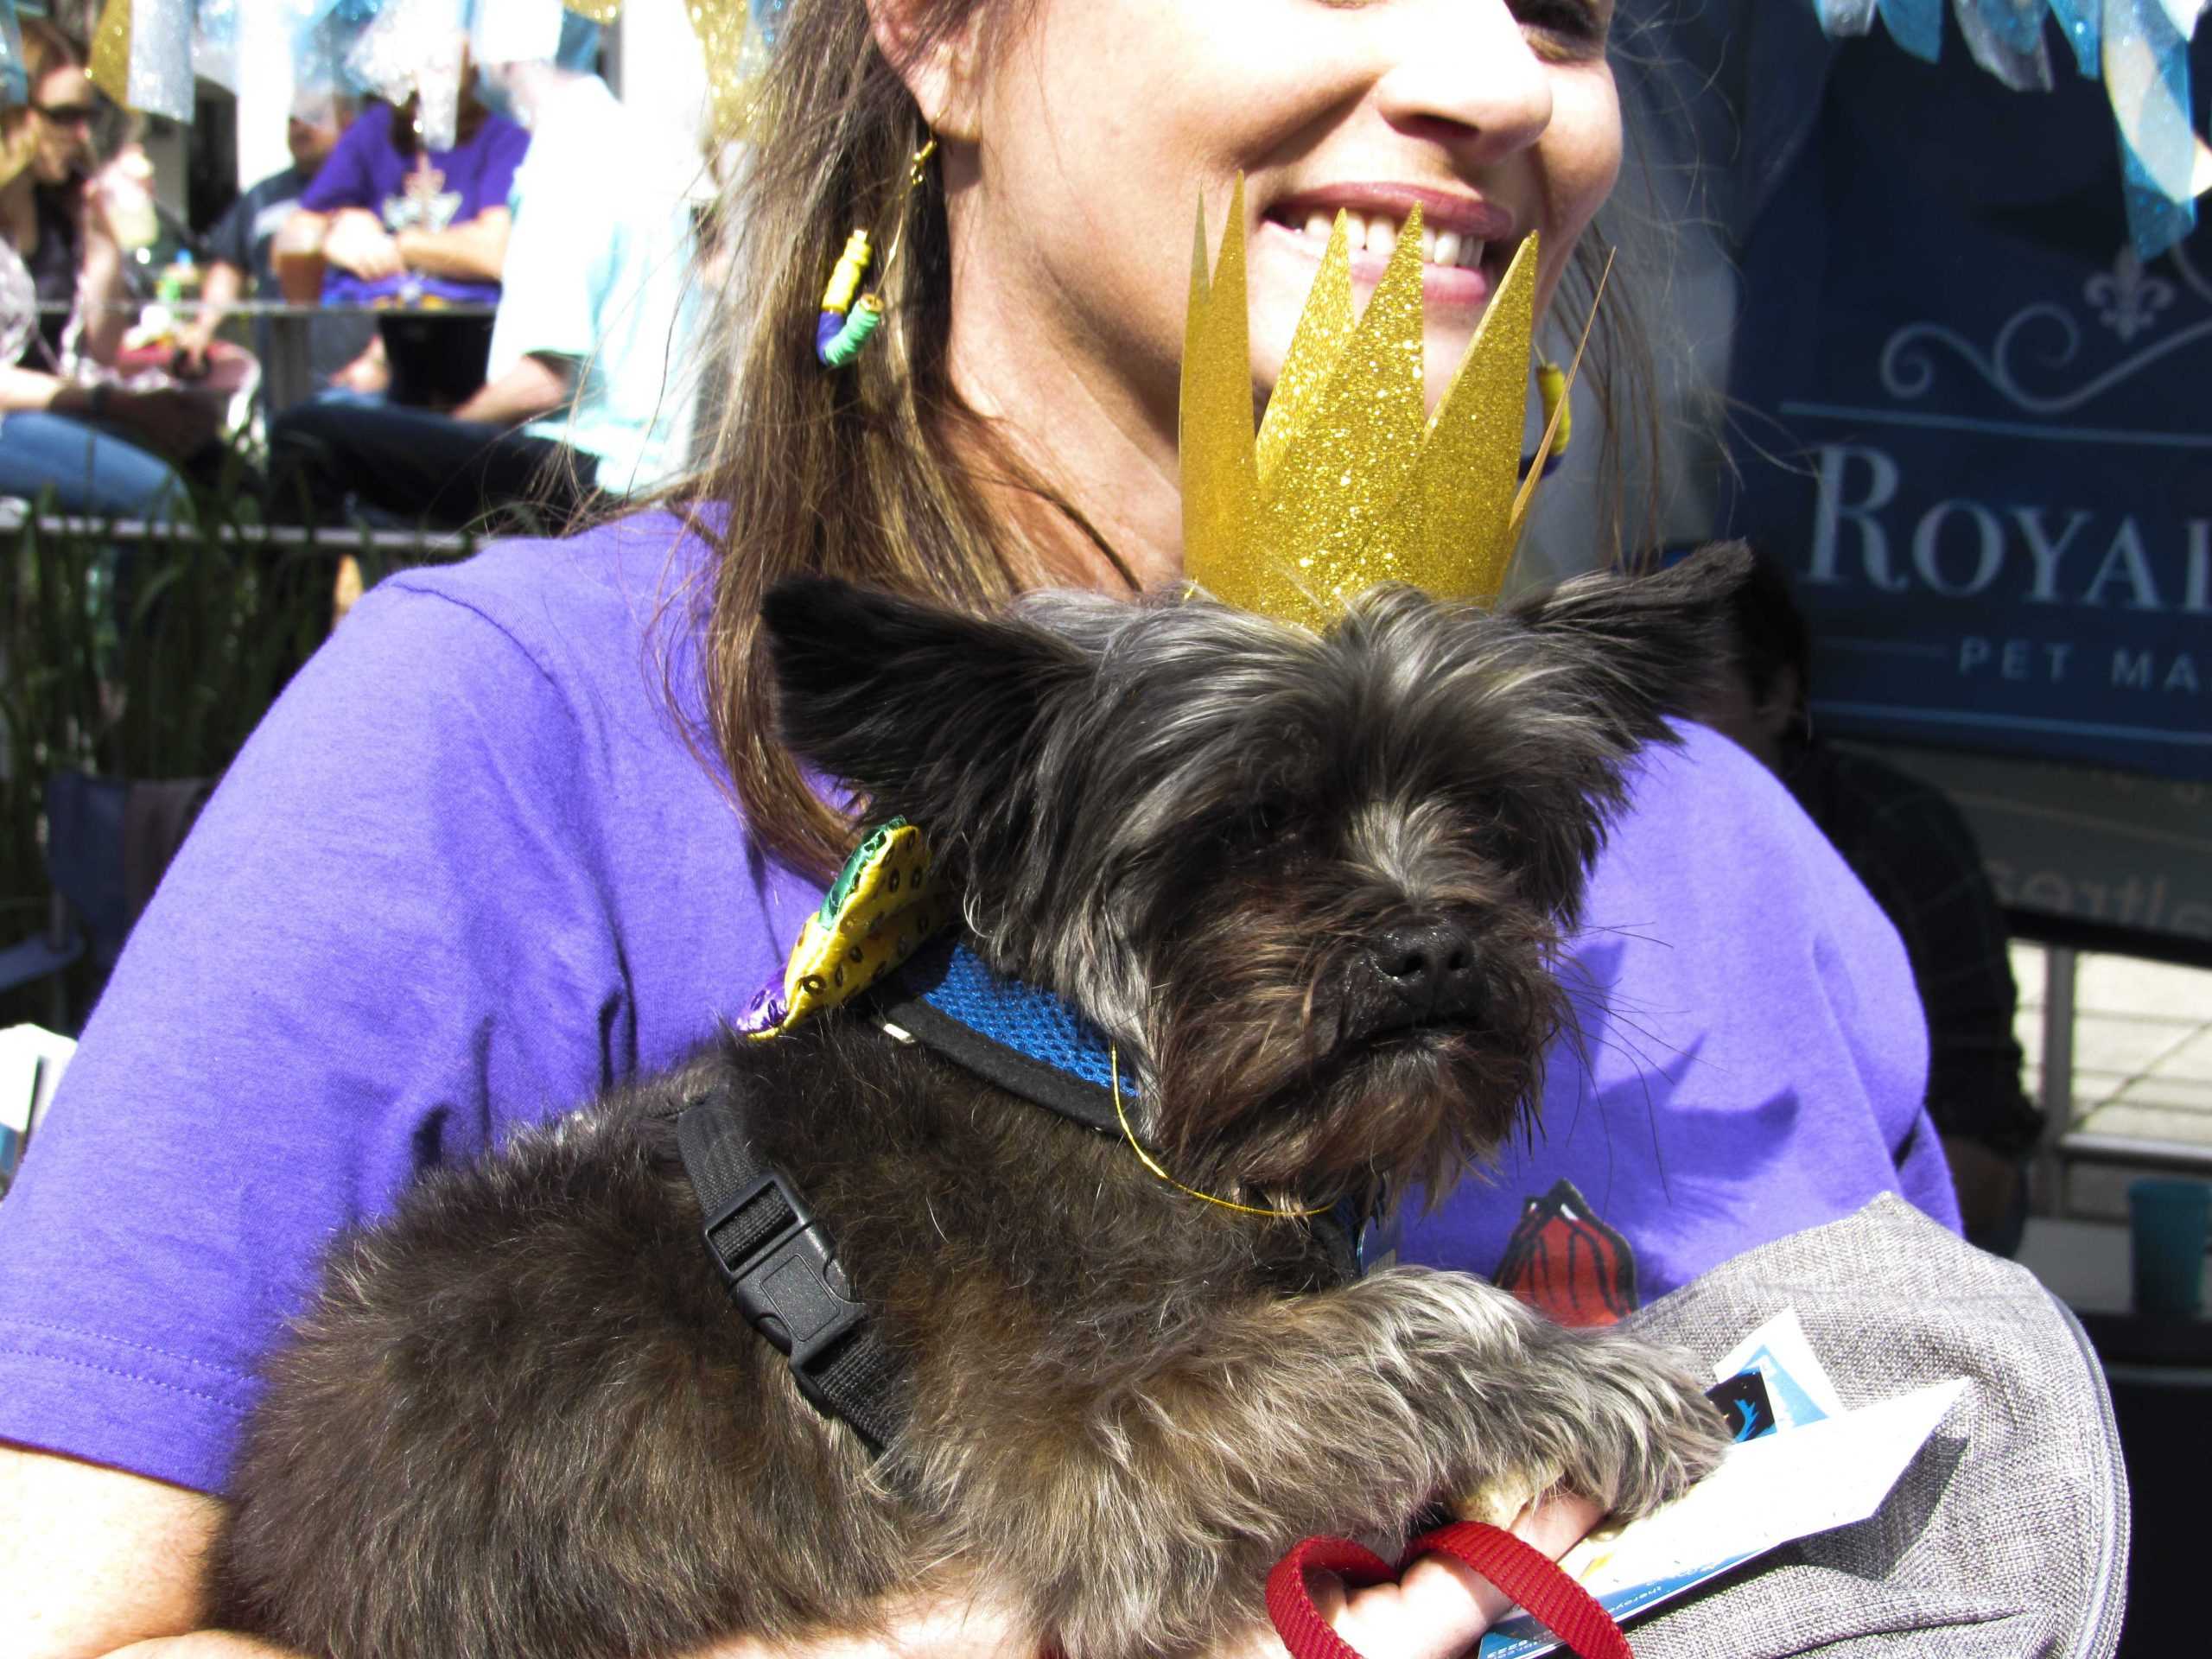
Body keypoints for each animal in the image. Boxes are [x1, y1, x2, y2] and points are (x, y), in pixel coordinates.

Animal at [215, 548, 1751, 1659]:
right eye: (1252, 826)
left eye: (1486, 816)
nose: (1434, 947)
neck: (1097, 1078)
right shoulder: (1092, 1452)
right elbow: (1410, 1320)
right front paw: (1585, 1378)